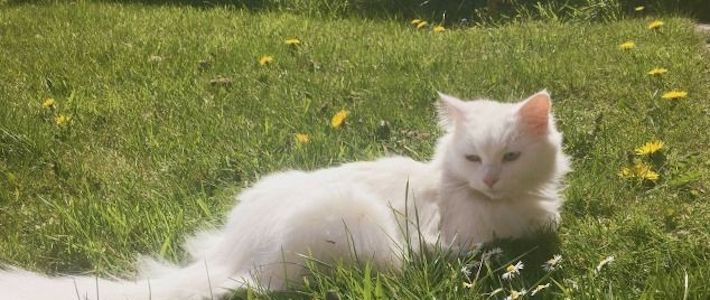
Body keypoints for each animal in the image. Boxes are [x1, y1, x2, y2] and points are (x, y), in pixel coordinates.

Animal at [0, 90, 572, 298]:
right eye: (474, 159)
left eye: (510, 157)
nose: (490, 179)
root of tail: (232, 254)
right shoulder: (462, 238)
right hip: (359, 227)